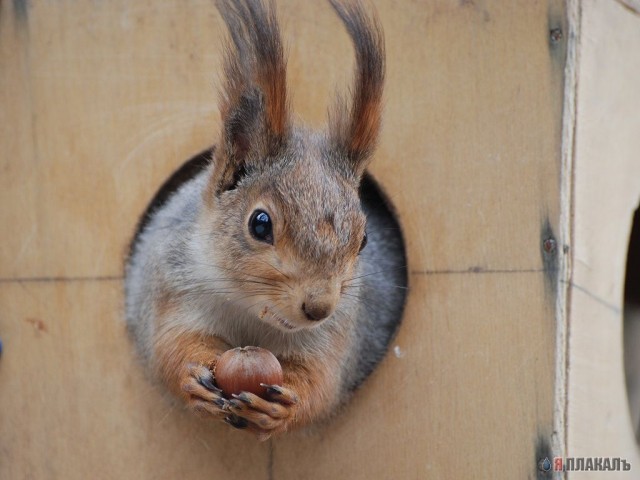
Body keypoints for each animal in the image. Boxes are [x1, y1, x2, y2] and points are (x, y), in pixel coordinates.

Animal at [123, 0, 408, 442]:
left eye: (363, 240)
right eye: (260, 224)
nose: (319, 307)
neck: (250, 312)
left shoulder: (334, 337)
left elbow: (320, 382)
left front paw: (281, 408)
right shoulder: (172, 286)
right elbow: (170, 345)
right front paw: (190, 376)